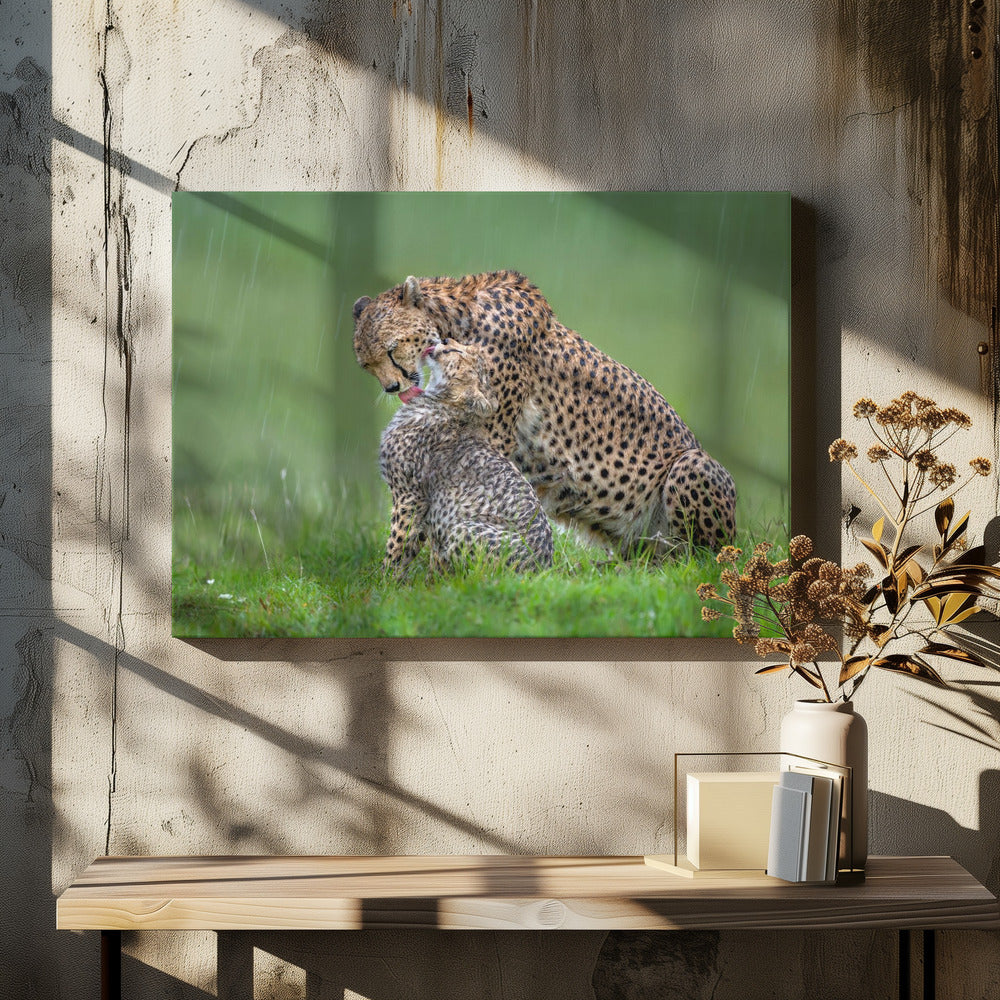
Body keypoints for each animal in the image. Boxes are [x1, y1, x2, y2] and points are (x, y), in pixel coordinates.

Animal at [378, 339, 554, 577]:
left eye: (457, 351)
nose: (445, 340)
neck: (443, 403)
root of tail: (543, 568)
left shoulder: (410, 497)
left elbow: (398, 545)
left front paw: (384, 581)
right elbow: (412, 544)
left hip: (461, 528)